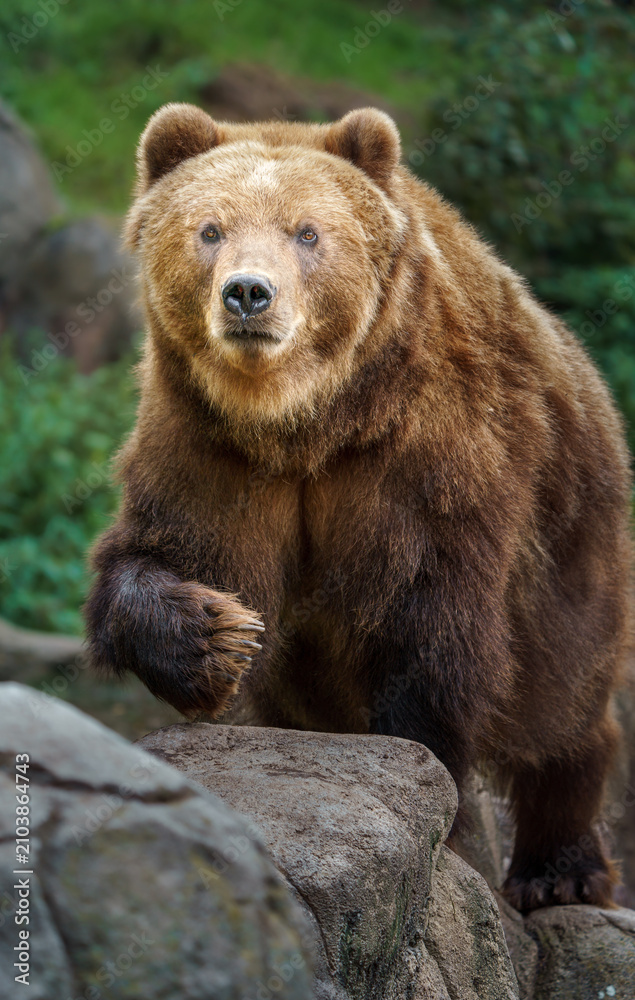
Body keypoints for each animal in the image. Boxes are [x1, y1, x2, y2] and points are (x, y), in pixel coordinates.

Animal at [85, 102, 632, 912]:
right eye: (209, 229)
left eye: (306, 232)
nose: (247, 293)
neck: (307, 422)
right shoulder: (208, 448)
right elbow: (163, 554)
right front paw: (219, 636)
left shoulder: (428, 459)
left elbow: (428, 624)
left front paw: (433, 799)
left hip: (571, 539)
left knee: (563, 698)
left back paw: (558, 869)